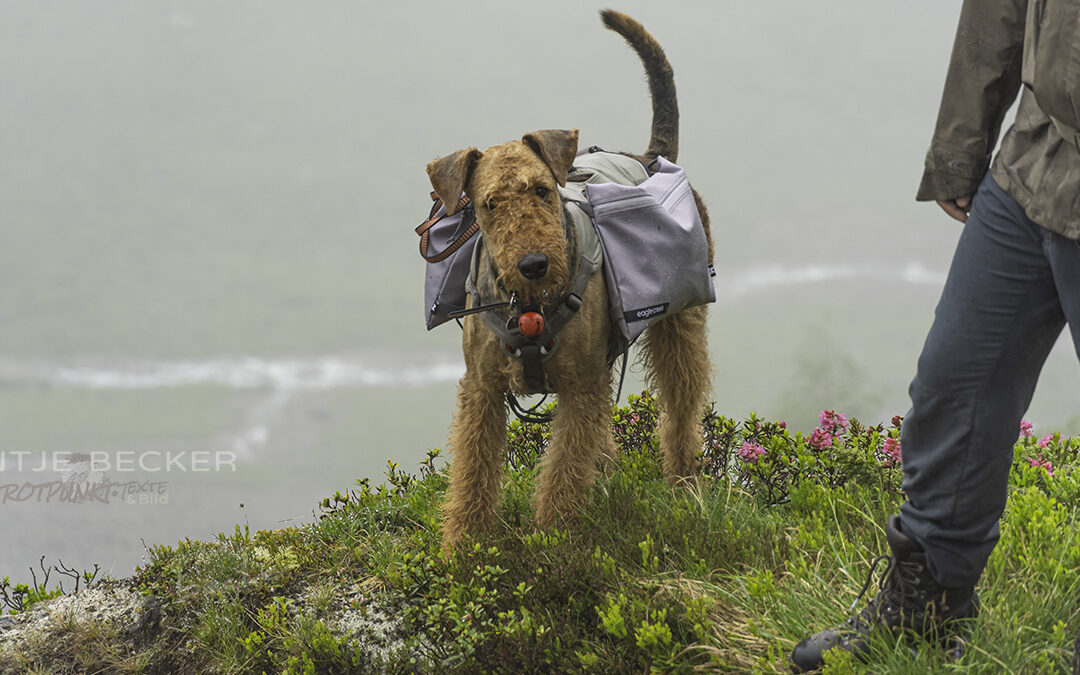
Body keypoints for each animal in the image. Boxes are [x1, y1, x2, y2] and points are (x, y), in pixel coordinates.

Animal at [425, 10, 712, 550]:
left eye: (541, 190)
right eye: (490, 204)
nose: (535, 264)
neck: (528, 308)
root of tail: (648, 155)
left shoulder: (582, 385)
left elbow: (563, 468)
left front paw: (553, 538)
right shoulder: (482, 387)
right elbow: (475, 469)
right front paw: (463, 546)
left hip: (680, 325)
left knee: (681, 410)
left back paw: (685, 486)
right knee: (609, 438)